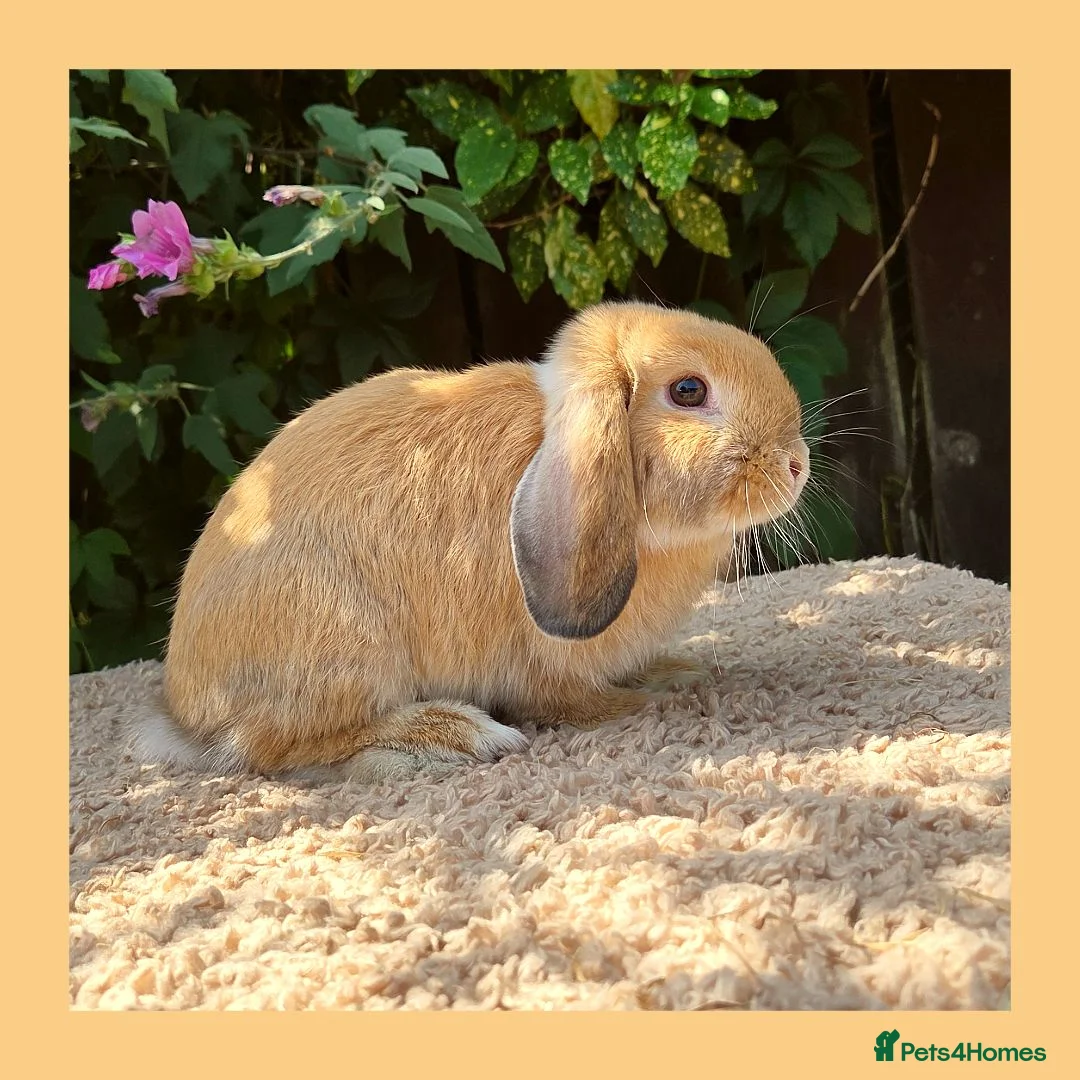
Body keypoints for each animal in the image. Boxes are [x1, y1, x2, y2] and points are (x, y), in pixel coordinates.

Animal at [132, 301, 810, 781]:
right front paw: (643, 707)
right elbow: (571, 702)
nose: (797, 465)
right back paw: (453, 739)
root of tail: (184, 711)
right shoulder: (543, 665)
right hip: (344, 644)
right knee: (278, 747)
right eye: (688, 391)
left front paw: (677, 675)